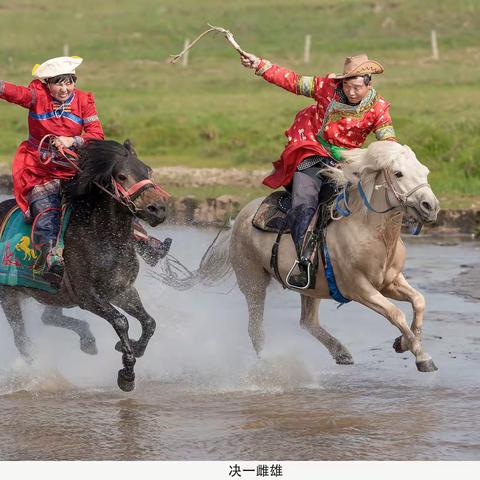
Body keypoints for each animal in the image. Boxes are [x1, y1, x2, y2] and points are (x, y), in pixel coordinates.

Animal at [0, 138, 169, 390]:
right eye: (121, 176)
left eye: (148, 170)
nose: (158, 209)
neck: (102, 238)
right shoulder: (88, 296)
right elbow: (121, 322)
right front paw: (126, 374)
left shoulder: (122, 290)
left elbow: (149, 322)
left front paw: (134, 349)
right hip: (9, 295)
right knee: (21, 340)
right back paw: (46, 374)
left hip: (52, 293)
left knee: (49, 318)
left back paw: (87, 341)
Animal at [174, 141, 440, 374]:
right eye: (398, 173)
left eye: (425, 171)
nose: (431, 206)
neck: (369, 231)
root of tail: (240, 219)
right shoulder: (360, 288)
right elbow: (396, 313)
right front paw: (422, 357)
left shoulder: (390, 282)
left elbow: (419, 301)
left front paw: (404, 343)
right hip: (253, 283)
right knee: (256, 330)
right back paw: (269, 367)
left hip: (311, 289)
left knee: (307, 322)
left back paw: (341, 353)